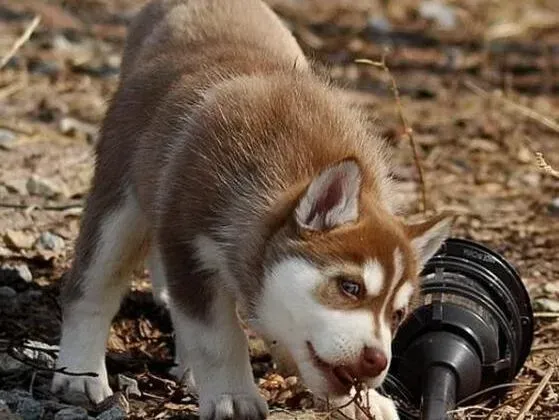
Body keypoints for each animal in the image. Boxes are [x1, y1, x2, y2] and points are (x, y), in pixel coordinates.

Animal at [51, 1, 456, 418]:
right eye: (350, 287)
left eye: (398, 315)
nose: (377, 361)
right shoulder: (189, 248)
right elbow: (218, 337)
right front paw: (233, 396)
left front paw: (369, 402)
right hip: (118, 207)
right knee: (90, 289)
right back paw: (80, 375)